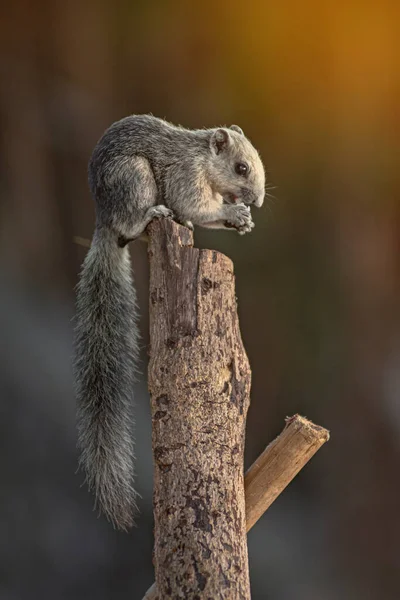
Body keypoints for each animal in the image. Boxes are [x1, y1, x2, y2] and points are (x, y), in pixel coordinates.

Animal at [73, 115, 268, 528]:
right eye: (241, 168)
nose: (256, 201)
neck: (203, 160)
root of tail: (103, 219)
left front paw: (242, 220)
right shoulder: (185, 176)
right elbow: (196, 207)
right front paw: (233, 215)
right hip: (134, 179)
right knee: (135, 222)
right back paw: (154, 215)